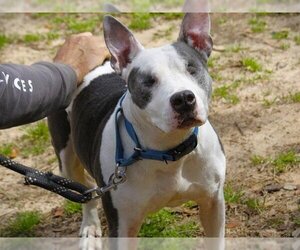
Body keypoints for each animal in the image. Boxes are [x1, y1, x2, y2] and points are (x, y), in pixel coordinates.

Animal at [48, 12, 225, 249]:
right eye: (148, 81)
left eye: (191, 69)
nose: (183, 98)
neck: (169, 150)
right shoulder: (122, 226)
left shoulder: (213, 203)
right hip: (66, 157)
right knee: (85, 190)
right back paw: (90, 227)